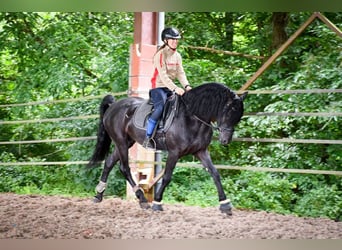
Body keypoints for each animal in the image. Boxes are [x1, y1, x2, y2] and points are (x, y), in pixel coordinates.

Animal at [88, 82, 247, 215]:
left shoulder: (201, 151)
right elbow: (166, 177)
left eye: (238, 116)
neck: (192, 117)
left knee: (109, 162)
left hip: (127, 142)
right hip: (121, 142)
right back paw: (142, 199)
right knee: (124, 168)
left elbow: (215, 174)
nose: (225, 141)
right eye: (228, 112)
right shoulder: (174, 152)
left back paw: (98, 195)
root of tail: (114, 105)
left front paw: (225, 204)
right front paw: (157, 203)